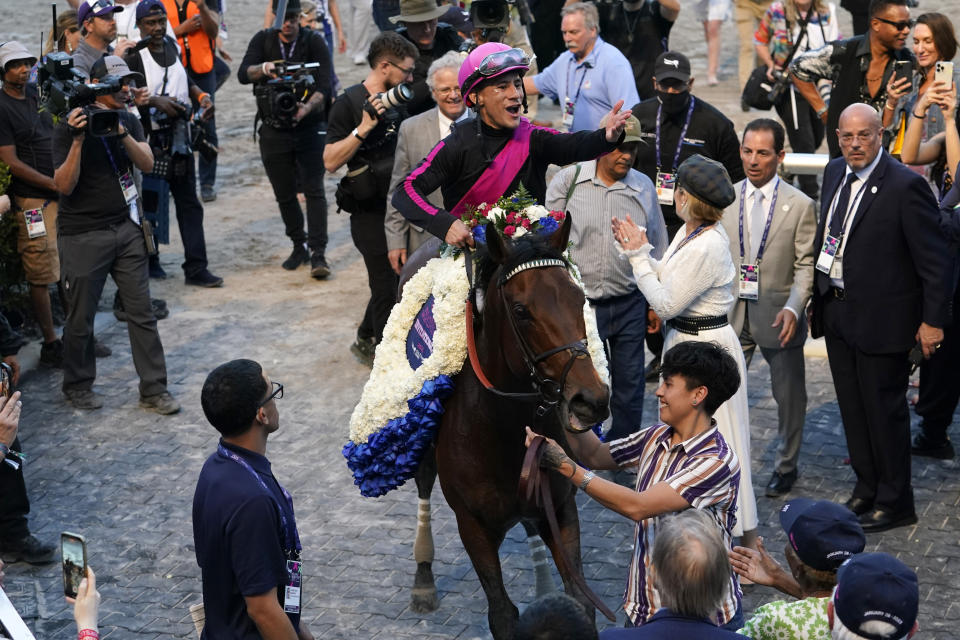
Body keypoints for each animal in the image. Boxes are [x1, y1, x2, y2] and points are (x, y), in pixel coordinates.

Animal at [400, 218, 612, 636]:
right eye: (521, 310)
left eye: (579, 298)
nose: (591, 399)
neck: (501, 428)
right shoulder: (473, 525)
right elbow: (501, 612)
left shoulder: (560, 507)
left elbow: (579, 601)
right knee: (422, 480)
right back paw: (422, 577)